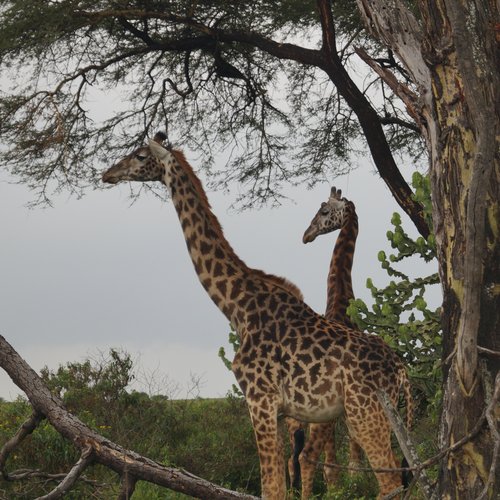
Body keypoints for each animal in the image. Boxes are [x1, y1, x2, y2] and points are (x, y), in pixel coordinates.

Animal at [102, 134, 414, 500]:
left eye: (139, 155)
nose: (107, 174)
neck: (238, 307)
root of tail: (401, 370)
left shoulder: (259, 400)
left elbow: (271, 488)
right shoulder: (280, 411)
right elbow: (279, 485)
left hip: (365, 413)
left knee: (389, 482)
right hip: (380, 416)